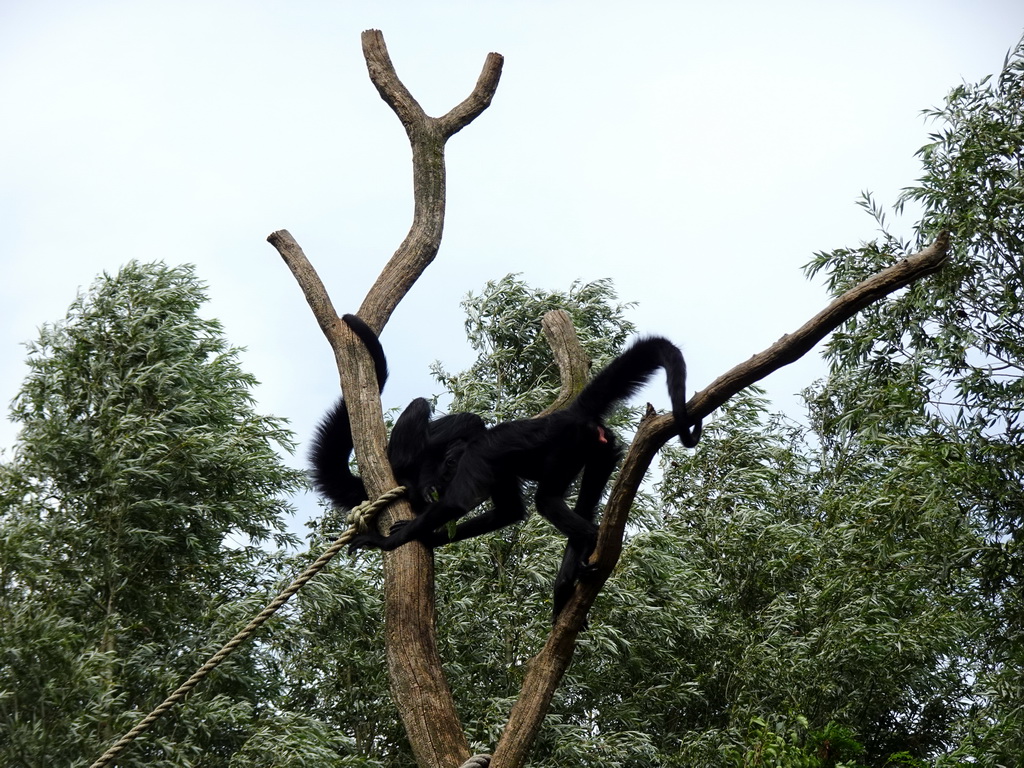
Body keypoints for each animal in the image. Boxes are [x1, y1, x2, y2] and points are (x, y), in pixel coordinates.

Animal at [348, 335, 700, 618]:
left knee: (547, 500)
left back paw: (586, 540)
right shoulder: (499, 470)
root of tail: (571, 414)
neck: (475, 444)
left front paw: (387, 540)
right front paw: (431, 538)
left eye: (448, 465)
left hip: (568, 447)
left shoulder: (478, 460)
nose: (442, 477)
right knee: (585, 501)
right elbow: (508, 512)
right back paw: (567, 582)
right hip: (602, 449)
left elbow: (459, 503)